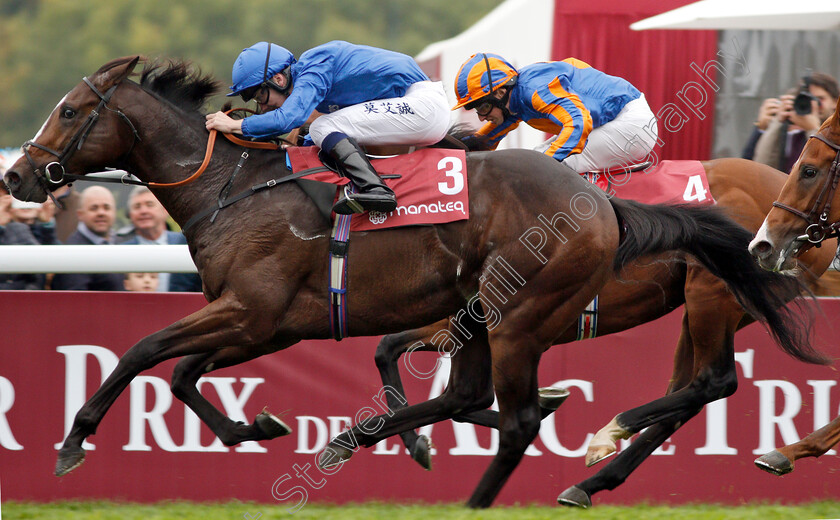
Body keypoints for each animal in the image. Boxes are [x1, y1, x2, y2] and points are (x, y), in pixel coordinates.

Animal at [364, 156, 836, 506]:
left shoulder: (482, 322)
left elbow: (440, 383)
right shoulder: (466, 324)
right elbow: (390, 352)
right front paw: (417, 443)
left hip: (711, 295)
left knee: (712, 381)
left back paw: (606, 444)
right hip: (709, 308)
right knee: (685, 394)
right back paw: (590, 481)